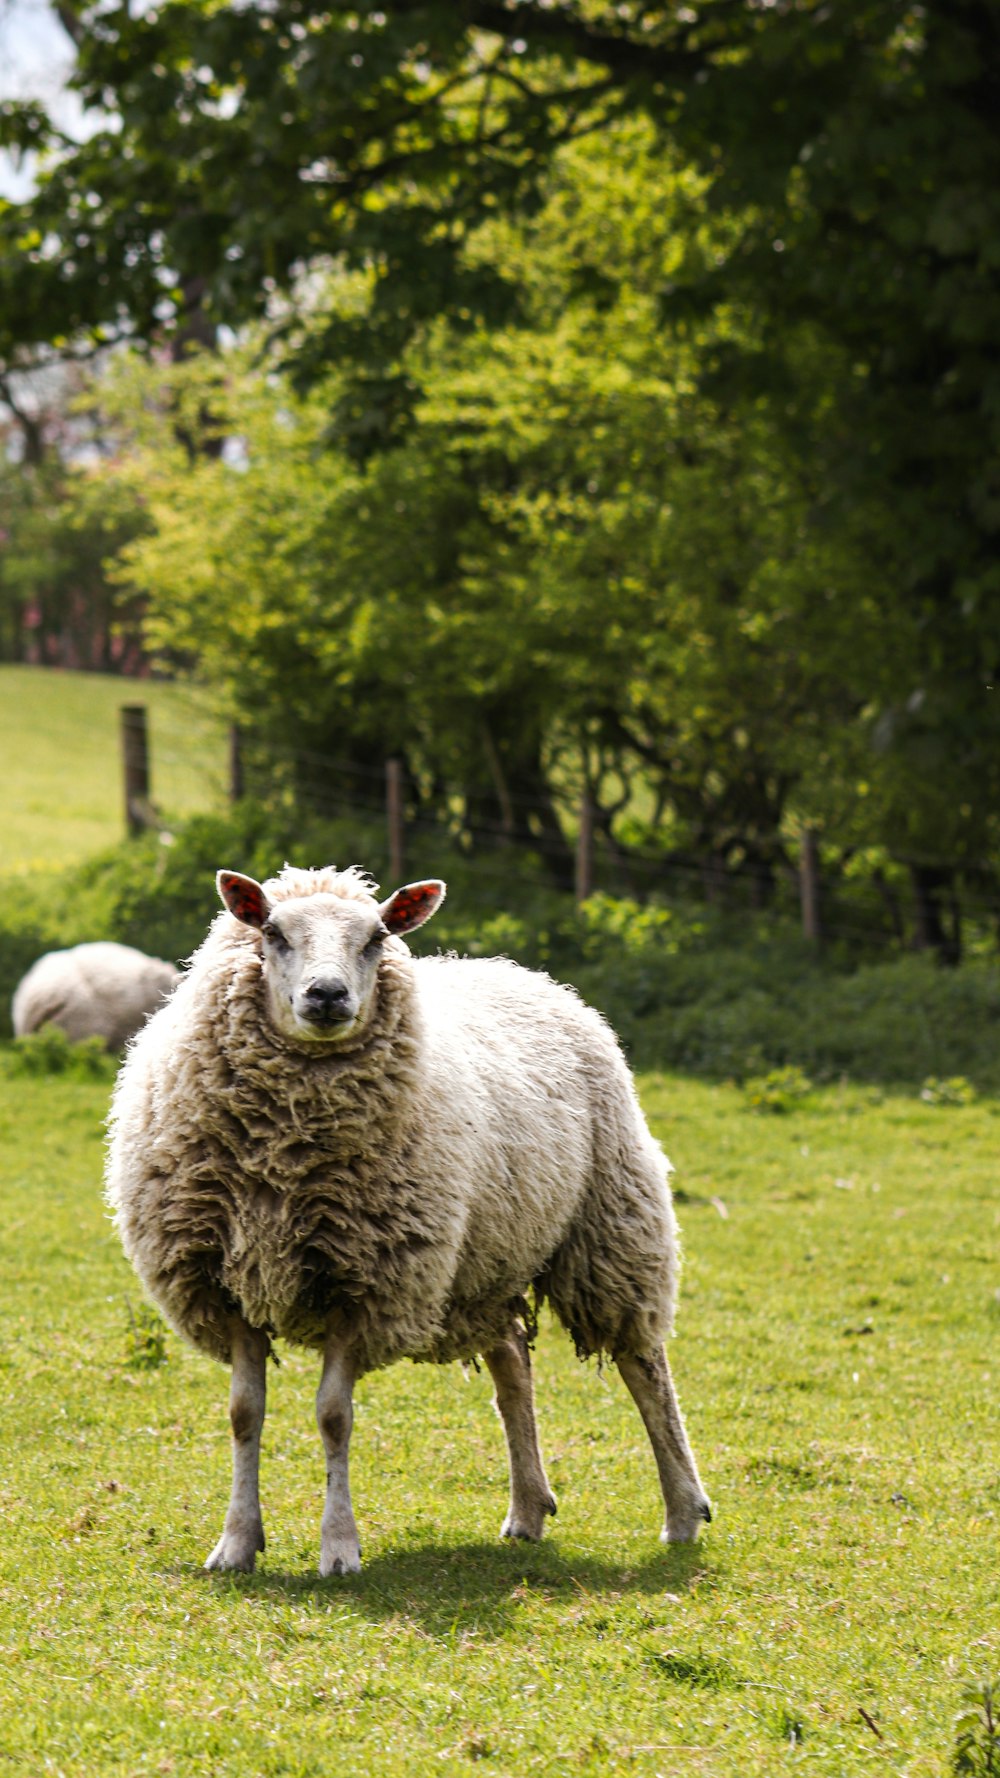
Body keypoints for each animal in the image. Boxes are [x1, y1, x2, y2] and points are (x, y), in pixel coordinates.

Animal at [104, 867, 704, 1578]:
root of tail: (524, 973)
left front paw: (339, 1547)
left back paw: (683, 1512)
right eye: (272, 932)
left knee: (645, 1367)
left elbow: (334, 1416)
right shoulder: (229, 1283)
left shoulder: (365, 1282)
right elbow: (243, 1414)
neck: (285, 1157)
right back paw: (528, 1510)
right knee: (513, 1369)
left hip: (611, 1224)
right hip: (484, 1262)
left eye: (376, 937)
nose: (327, 994)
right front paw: (236, 1543)